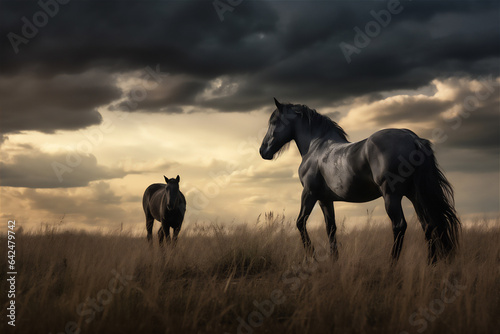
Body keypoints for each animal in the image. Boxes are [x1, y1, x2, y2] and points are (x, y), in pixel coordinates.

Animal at [262, 99, 460, 264]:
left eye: (274, 122)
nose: (263, 151)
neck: (316, 147)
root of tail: (413, 139)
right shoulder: (325, 200)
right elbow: (331, 229)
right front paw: (334, 260)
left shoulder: (310, 194)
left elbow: (300, 223)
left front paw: (312, 257)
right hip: (415, 195)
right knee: (429, 225)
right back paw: (431, 263)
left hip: (392, 195)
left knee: (400, 225)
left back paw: (392, 264)